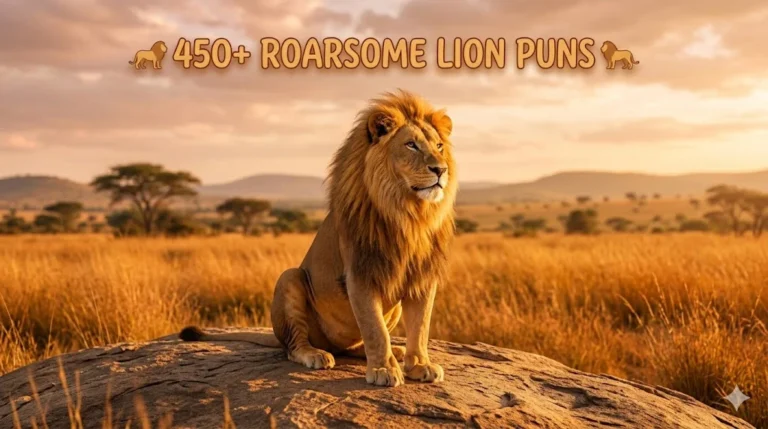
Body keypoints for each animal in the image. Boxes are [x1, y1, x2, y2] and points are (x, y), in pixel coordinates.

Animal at [180, 90, 457, 387]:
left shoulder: (423, 276)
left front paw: (419, 365)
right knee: (294, 346)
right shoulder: (361, 274)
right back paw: (317, 354)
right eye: (411, 145)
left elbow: (420, 326)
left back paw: (396, 350)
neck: (408, 214)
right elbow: (374, 329)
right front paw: (383, 369)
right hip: (290, 278)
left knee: (357, 345)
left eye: (439, 146)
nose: (440, 170)